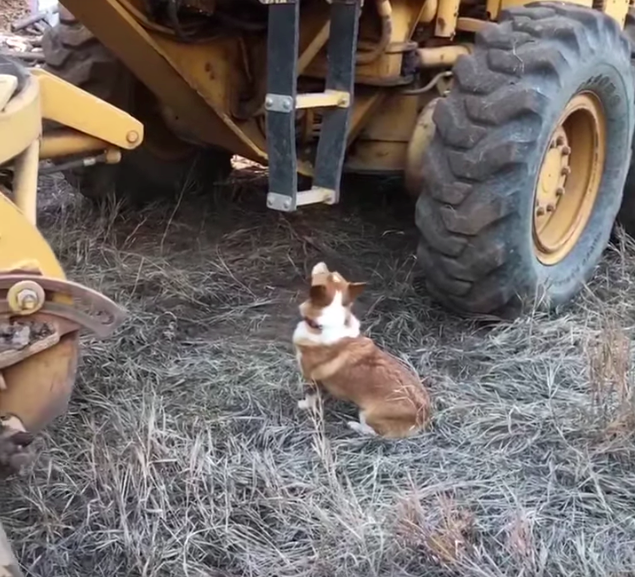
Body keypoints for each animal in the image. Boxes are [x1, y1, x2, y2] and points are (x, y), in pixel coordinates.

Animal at [294, 264, 432, 438]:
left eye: (324, 273)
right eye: (332, 272)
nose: (322, 263)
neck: (325, 325)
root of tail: (423, 416)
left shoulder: (311, 379)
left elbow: (310, 397)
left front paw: (303, 405)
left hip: (367, 414)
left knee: (373, 432)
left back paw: (354, 425)